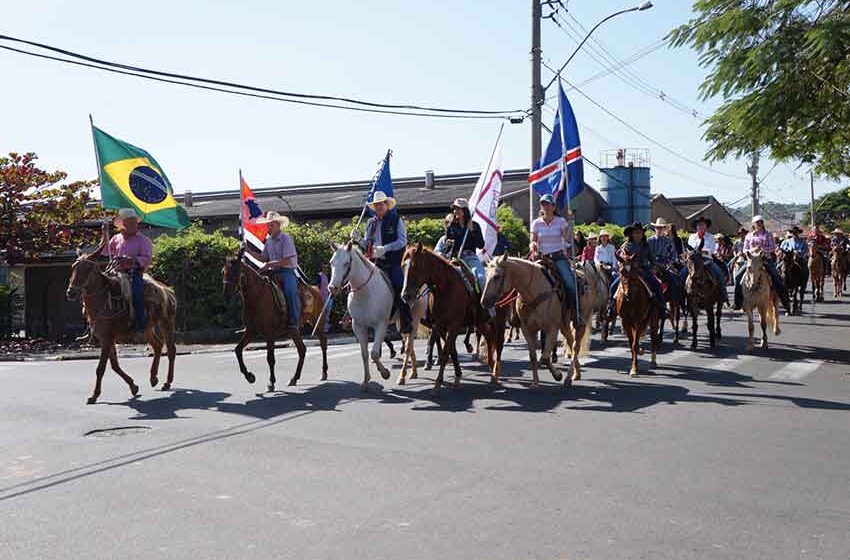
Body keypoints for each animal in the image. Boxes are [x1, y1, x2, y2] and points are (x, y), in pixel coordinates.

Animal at [67, 248, 178, 402]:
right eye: (73, 267)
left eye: (88, 268)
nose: (70, 292)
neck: (102, 301)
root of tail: (167, 290)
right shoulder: (106, 338)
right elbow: (114, 365)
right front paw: (133, 387)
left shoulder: (107, 338)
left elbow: (101, 368)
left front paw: (94, 395)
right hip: (146, 329)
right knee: (158, 345)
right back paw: (153, 378)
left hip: (166, 322)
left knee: (171, 350)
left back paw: (167, 382)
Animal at [220, 252, 326, 392]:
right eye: (223, 271)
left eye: (236, 271)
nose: (226, 294)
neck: (258, 296)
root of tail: (315, 289)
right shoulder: (251, 331)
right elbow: (238, 350)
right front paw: (250, 376)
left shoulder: (269, 333)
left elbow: (270, 358)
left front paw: (271, 383)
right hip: (294, 331)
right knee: (302, 350)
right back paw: (294, 378)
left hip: (317, 322)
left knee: (323, 343)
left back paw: (324, 373)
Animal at [400, 244, 500, 394]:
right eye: (402, 266)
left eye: (415, 266)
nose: (406, 295)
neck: (445, 287)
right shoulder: (440, 325)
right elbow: (450, 350)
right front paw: (457, 376)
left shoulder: (453, 325)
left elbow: (446, 351)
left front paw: (437, 382)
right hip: (479, 322)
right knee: (489, 337)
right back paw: (491, 367)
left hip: (487, 320)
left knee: (491, 337)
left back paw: (493, 370)